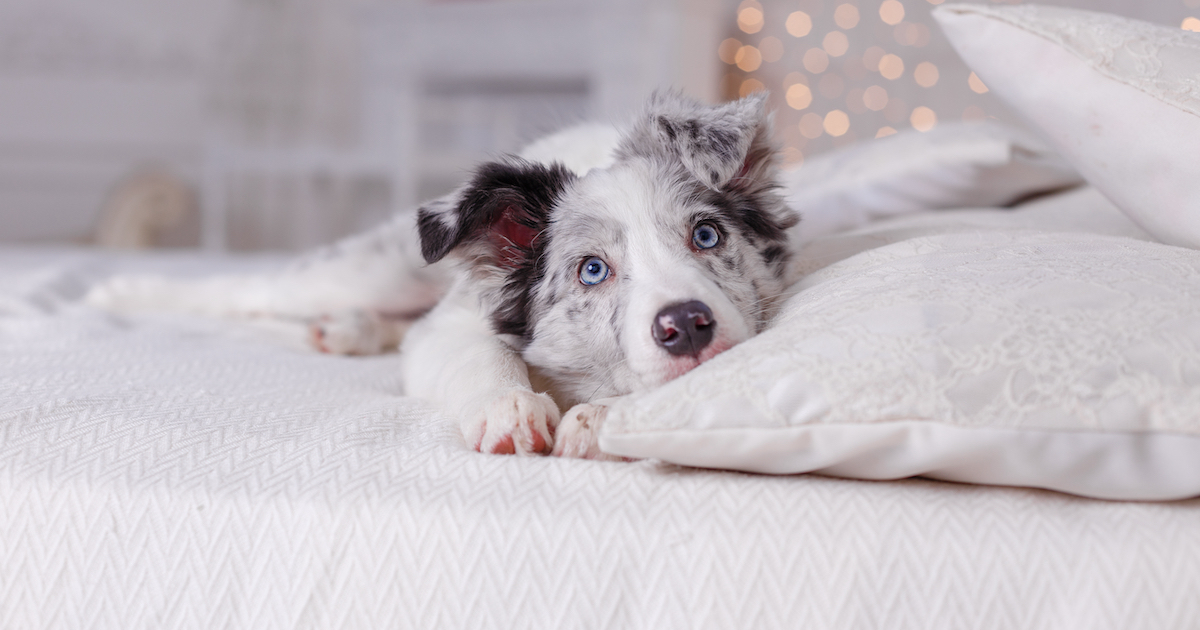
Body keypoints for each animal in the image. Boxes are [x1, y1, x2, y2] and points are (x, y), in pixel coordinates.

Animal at [88, 90, 801, 458]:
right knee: (247, 292)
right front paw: (508, 409)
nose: (686, 326)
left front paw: (603, 421)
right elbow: (481, 355)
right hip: (379, 268)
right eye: (593, 270)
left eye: (705, 235)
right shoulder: (452, 325)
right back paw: (116, 289)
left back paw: (345, 330)